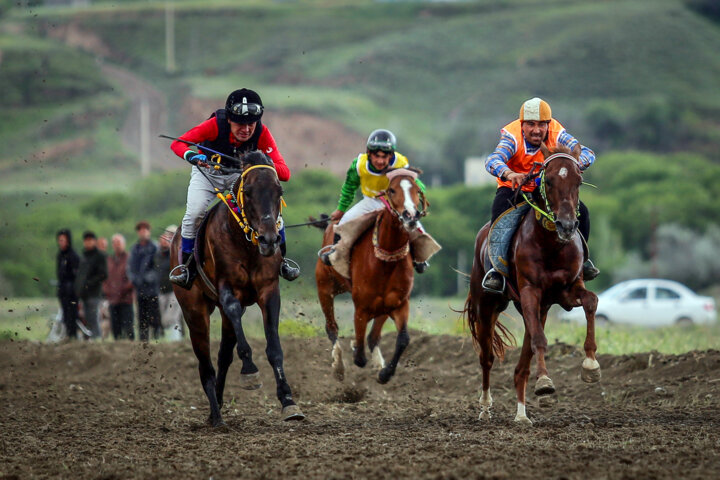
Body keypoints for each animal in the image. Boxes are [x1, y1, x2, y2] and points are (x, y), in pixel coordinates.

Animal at [172, 151, 304, 428]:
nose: (269, 240)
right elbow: (239, 339)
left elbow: (274, 348)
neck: (247, 244)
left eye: (279, 191)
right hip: (194, 311)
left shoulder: (269, 291)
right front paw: (250, 371)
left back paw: (218, 404)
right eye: (249, 192)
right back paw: (216, 415)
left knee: (223, 356)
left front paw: (288, 401)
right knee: (205, 364)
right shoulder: (227, 291)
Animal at [316, 171, 428, 384]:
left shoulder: (399, 303)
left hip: (382, 305)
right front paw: (354, 352)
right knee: (332, 327)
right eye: (392, 190)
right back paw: (339, 366)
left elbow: (403, 339)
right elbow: (359, 350)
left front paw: (385, 373)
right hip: (324, 287)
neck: (386, 261)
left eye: (417, 190)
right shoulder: (361, 307)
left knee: (373, 337)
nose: (410, 216)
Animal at [464, 145, 600, 424]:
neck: (551, 244)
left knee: (521, 367)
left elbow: (591, 301)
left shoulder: (567, 291)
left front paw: (591, 364)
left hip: (540, 308)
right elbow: (539, 339)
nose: (567, 226)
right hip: (487, 305)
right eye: (548, 181)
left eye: (578, 181)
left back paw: (521, 414)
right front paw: (545, 382)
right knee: (487, 357)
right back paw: (485, 407)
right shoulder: (530, 292)